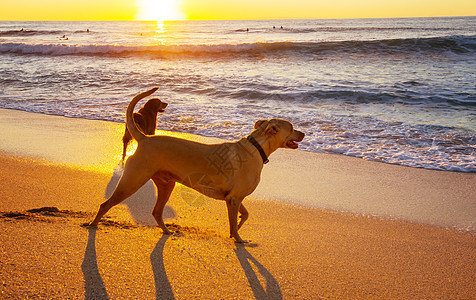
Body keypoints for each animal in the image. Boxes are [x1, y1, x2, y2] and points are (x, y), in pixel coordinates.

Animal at [90, 88, 304, 243]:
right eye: (292, 128)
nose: (304, 133)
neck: (256, 147)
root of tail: (144, 138)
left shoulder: (233, 198)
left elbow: (244, 215)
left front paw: (237, 229)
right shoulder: (234, 199)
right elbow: (235, 223)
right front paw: (238, 238)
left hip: (166, 183)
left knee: (156, 212)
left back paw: (167, 231)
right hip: (132, 181)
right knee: (106, 204)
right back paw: (93, 224)